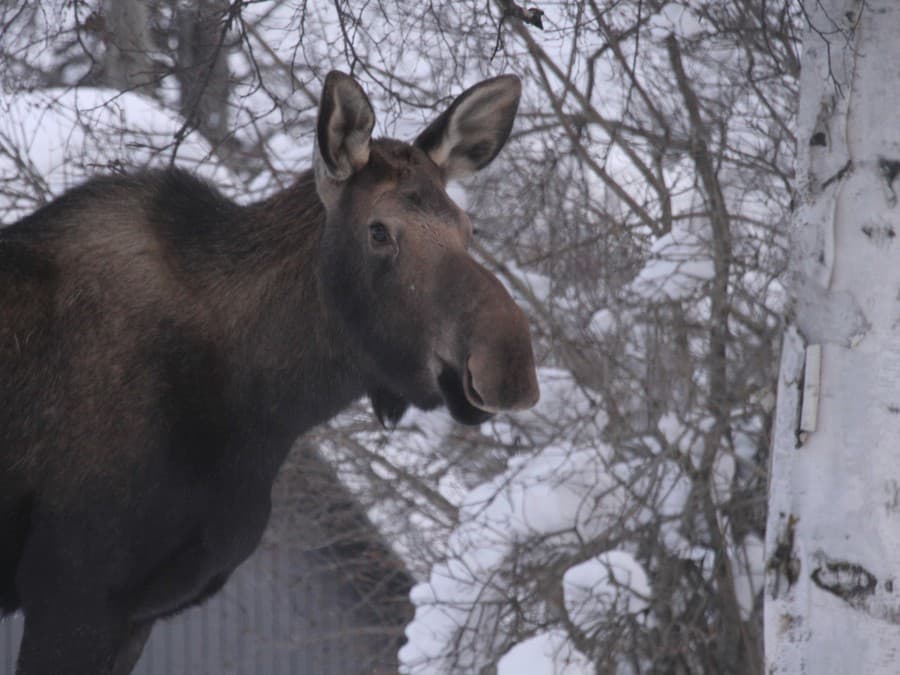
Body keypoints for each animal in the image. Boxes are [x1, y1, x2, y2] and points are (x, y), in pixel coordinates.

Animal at [0, 71, 536, 672]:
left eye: (469, 228)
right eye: (379, 231)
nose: (509, 364)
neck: (268, 409)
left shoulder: (138, 609)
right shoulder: (75, 590)